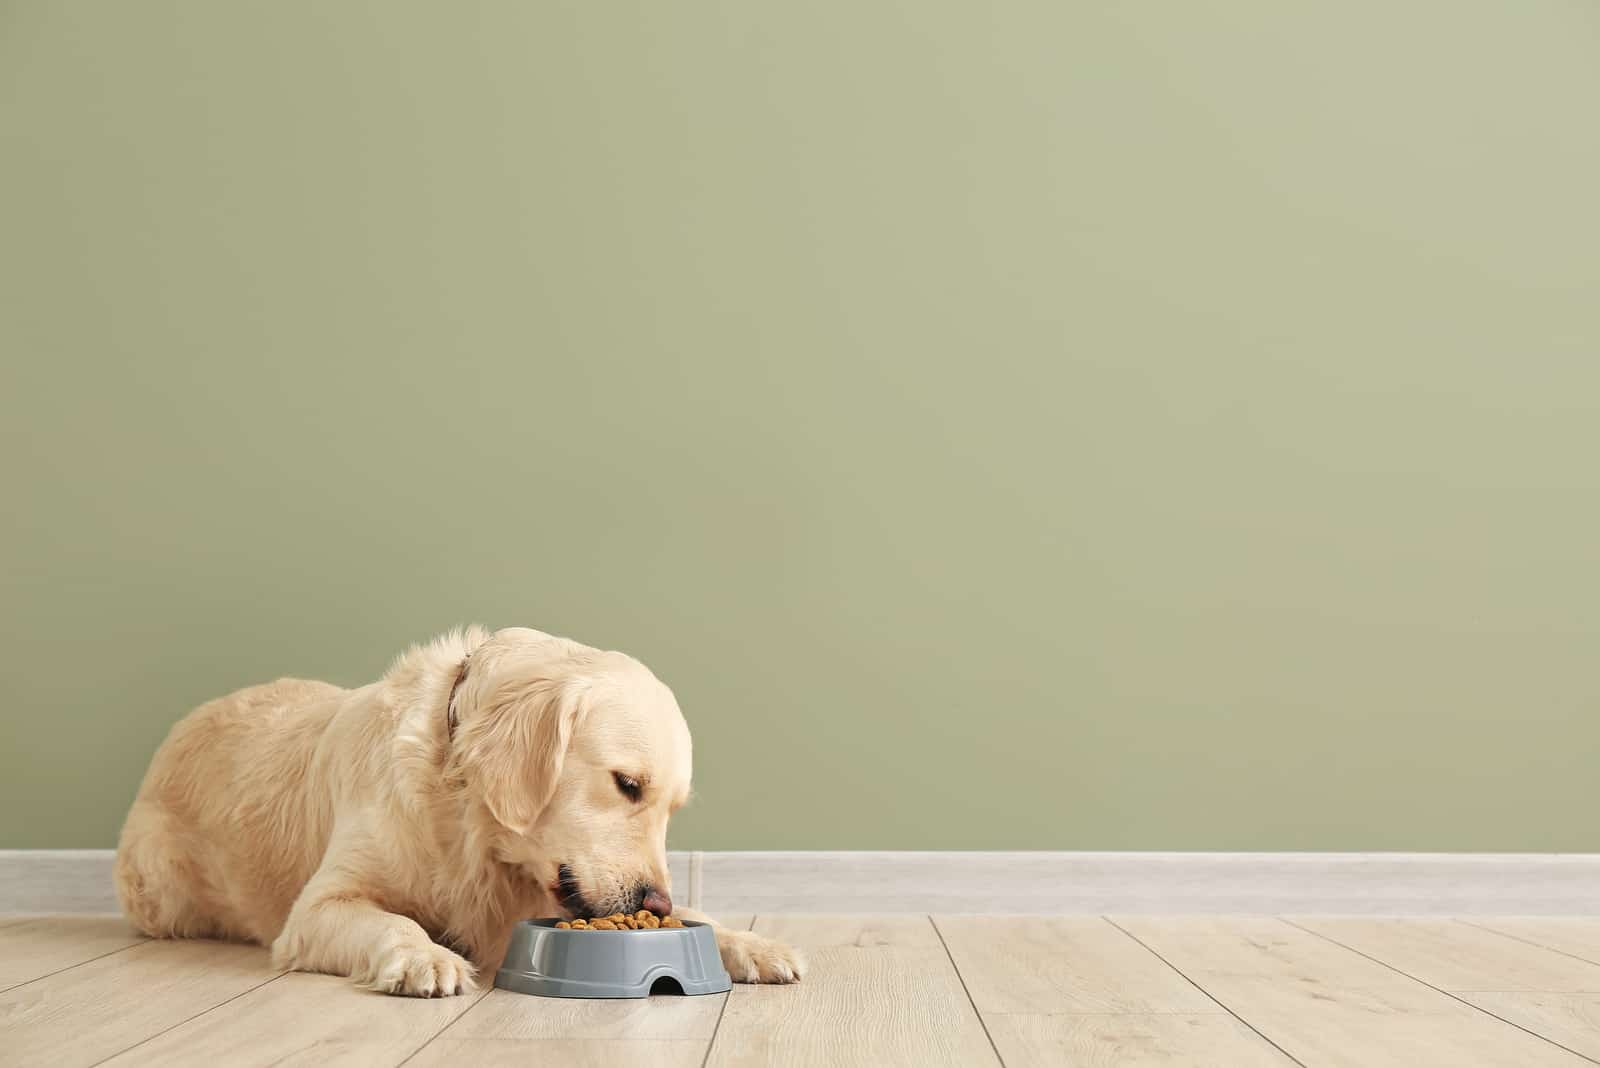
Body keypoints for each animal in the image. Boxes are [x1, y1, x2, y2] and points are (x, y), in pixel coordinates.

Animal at [116, 626, 800, 991]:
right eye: (627, 784)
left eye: (672, 808)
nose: (655, 903)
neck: (465, 816)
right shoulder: (318, 908)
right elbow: (394, 921)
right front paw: (426, 958)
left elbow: (701, 915)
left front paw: (754, 944)